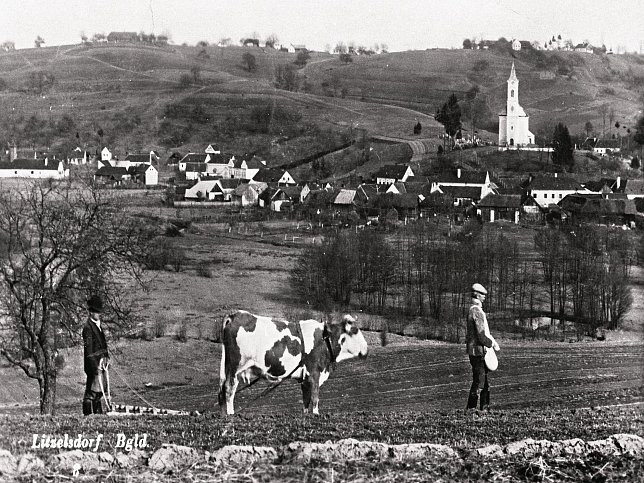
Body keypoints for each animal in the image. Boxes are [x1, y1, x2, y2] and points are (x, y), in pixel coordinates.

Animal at [219, 310, 368, 416]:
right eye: (355, 331)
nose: (366, 349)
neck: (325, 339)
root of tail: (236, 315)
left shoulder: (305, 379)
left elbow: (306, 402)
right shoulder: (314, 374)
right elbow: (315, 399)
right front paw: (316, 414)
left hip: (227, 367)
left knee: (222, 389)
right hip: (235, 366)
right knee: (229, 388)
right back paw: (230, 414)